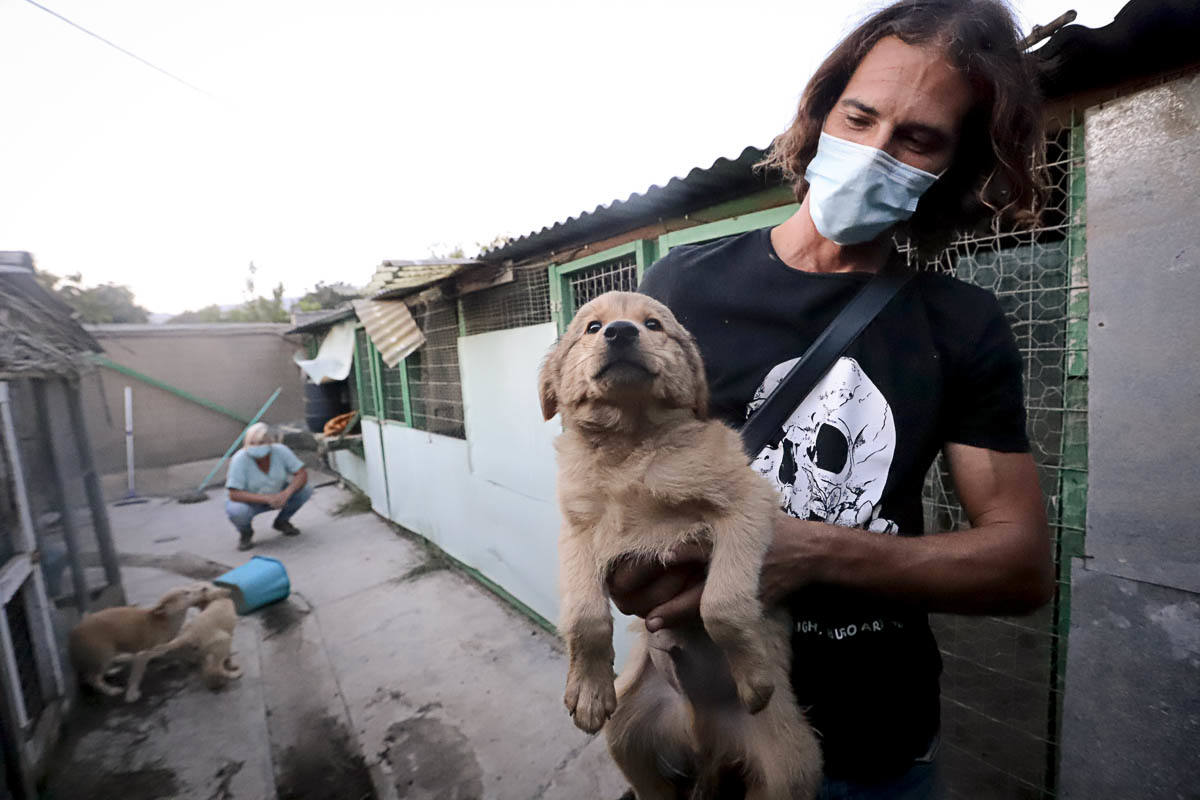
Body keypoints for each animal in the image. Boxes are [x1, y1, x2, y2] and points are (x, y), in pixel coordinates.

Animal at [67, 582, 206, 700]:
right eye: (186, 593)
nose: (203, 589)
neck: (164, 620)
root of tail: (74, 634)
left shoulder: (163, 647)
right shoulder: (142, 654)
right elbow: (136, 676)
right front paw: (132, 694)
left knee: (94, 673)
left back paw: (111, 670)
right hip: (104, 652)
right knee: (93, 679)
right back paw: (110, 690)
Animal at [540, 292, 820, 800]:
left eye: (653, 324)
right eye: (593, 328)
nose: (622, 332)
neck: (632, 447)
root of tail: (706, 739)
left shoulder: (747, 505)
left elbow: (721, 605)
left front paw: (753, 677)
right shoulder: (578, 532)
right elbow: (585, 616)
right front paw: (588, 691)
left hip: (789, 768)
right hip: (626, 729)